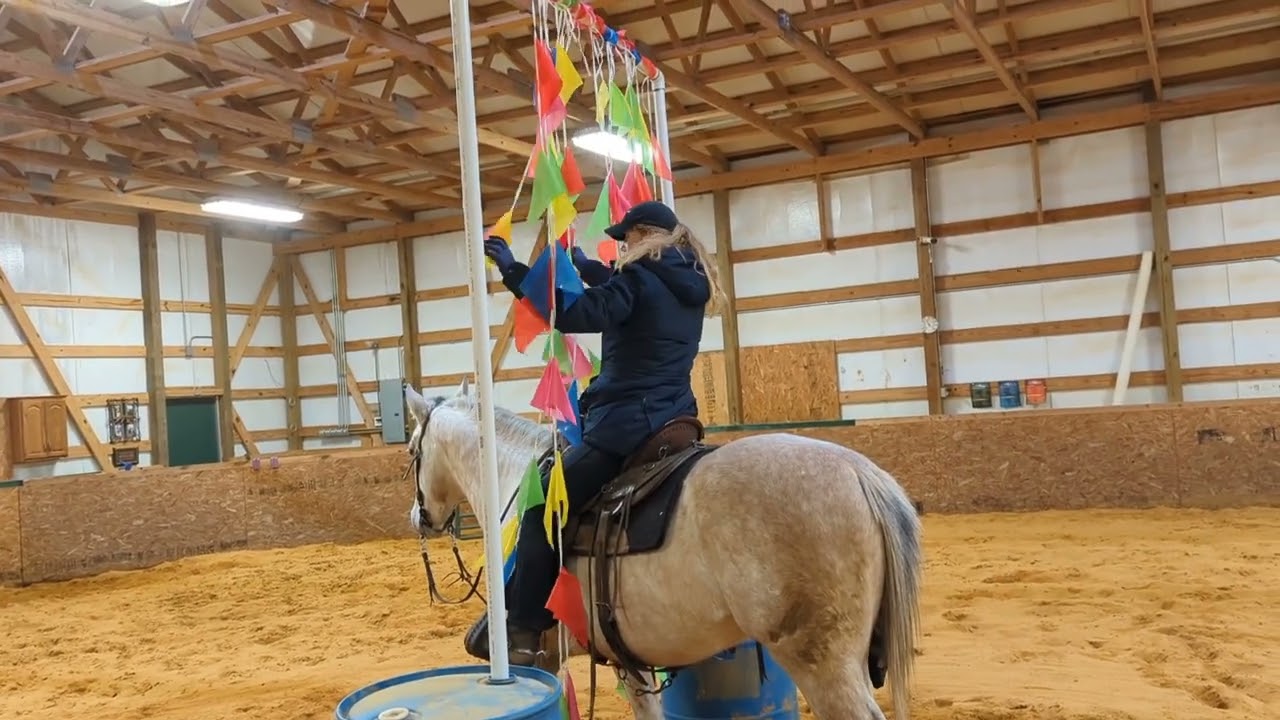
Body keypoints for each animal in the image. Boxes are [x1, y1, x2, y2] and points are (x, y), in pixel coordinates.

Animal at [403, 380, 923, 720]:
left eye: (412, 451)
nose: (419, 517)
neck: (514, 480)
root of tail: (859, 472)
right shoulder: (626, 658)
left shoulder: (540, 655)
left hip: (823, 664)